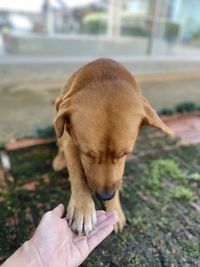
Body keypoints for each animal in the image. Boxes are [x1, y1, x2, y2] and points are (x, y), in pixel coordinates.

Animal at [53, 58, 173, 234]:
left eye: (124, 153)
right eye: (87, 154)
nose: (105, 196)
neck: (104, 75)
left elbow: (117, 177)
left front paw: (114, 207)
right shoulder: (70, 143)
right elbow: (77, 173)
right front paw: (83, 207)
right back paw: (60, 160)